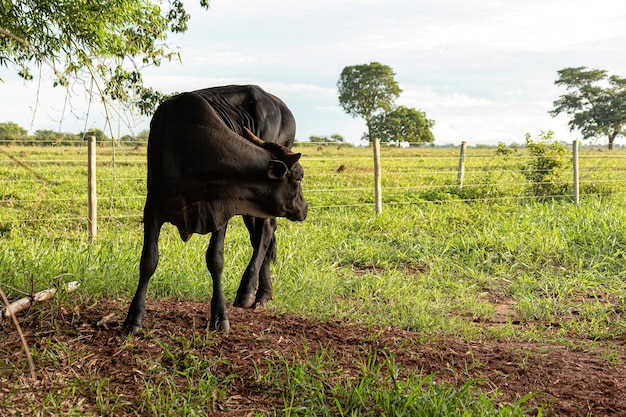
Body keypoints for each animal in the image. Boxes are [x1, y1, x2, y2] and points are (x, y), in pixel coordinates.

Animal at [120, 86, 306, 334]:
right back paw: (262, 293)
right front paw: (134, 318)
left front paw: (219, 316)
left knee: (265, 231)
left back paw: (249, 291)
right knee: (260, 235)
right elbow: (148, 259)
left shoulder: (219, 210)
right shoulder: (153, 207)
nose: (304, 209)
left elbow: (215, 260)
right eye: (299, 177)